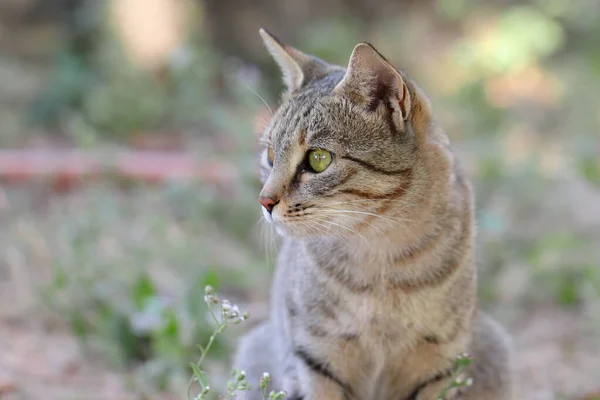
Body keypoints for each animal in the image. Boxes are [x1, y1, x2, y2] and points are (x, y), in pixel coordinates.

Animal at [232, 28, 512, 400]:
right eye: (270, 155)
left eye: (318, 159)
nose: (264, 201)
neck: (382, 259)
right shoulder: (317, 356)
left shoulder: (439, 362)